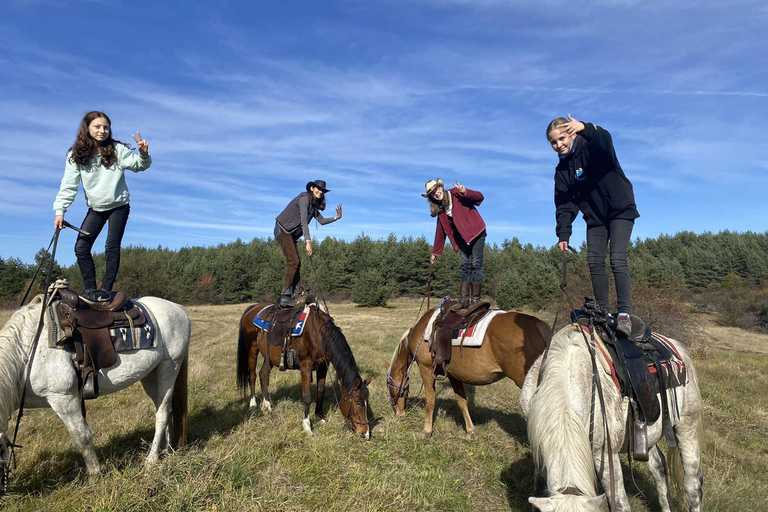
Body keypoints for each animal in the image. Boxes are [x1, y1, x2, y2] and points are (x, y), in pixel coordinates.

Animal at [0, 296, 190, 480]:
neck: (26, 352)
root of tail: (179, 309)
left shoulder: (63, 398)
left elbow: (81, 436)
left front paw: (95, 474)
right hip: (151, 375)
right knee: (165, 408)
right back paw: (165, 449)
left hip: (169, 366)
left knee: (163, 413)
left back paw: (151, 460)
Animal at [237, 302, 376, 438]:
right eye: (358, 403)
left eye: (366, 402)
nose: (365, 433)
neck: (318, 333)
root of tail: (253, 308)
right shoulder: (305, 365)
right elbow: (307, 396)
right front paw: (307, 426)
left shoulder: (323, 366)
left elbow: (320, 392)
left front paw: (320, 416)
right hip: (252, 350)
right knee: (252, 376)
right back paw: (253, 404)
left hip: (269, 357)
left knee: (263, 375)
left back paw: (268, 406)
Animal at [388, 306, 548, 438]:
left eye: (389, 387)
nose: (398, 413)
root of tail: (538, 324)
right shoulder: (454, 375)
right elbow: (462, 401)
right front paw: (470, 431)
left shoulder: (425, 368)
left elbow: (430, 400)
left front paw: (427, 431)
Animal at [520, 326, 704, 510]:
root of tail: (676, 347)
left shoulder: (605, 456)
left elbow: (620, 503)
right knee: (659, 468)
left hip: (687, 427)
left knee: (692, 484)